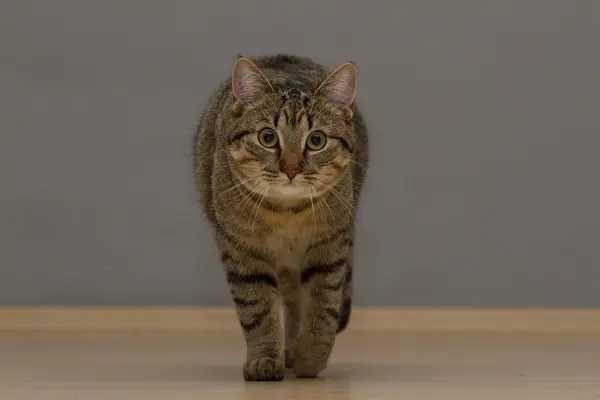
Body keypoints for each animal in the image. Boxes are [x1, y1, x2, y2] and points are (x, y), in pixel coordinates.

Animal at [195, 54, 368, 382]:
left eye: (316, 140)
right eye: (267, 137)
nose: (291, 169)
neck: (287, 215)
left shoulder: (331, 247)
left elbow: (324, 309)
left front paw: (310, 359)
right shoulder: (241, 251)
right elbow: (257, 311)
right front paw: (264, 359)